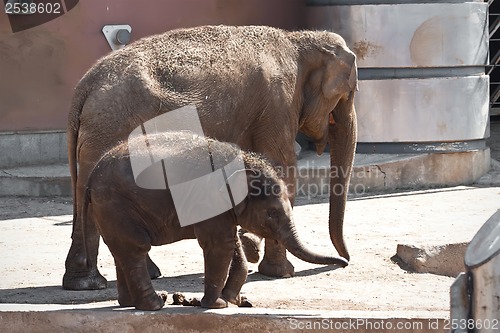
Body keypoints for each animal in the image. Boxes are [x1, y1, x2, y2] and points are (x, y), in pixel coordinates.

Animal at [63, 24, 360, 290]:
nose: (346, 259)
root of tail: (82, 89)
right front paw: (279, 272)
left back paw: (92, 281)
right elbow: (281, 166)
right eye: (348, 93)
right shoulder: (278, 103)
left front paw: (251, 246)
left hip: (100, 134)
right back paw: (95, 283)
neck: (298, 40)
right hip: (110, 128)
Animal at [82, 131, 348, 310]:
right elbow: (219, 245)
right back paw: (156, 303)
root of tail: (91, 176)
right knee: (135, 248)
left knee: (122, 251)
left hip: (109, 211)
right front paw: (217, 305)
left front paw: (233, 300)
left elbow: (232, 245)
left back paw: (130, 303)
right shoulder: (210, 200)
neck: (243, 162)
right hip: (117, 206)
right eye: (271, 213)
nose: (345, 263)